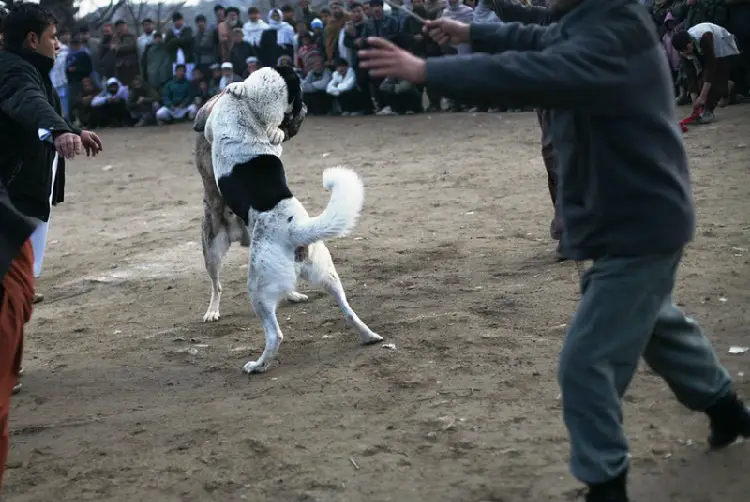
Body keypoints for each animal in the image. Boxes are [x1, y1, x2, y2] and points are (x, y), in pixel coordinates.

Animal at [195, 66, 382, 372]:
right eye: (301, 95)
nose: (306, 106)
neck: (251, 108)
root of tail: (296, 230)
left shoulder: (211, 126)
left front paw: (235, 86)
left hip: (256, 286)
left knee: (273, 332)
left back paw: (258, 364)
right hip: (326, 273)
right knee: (347, 310)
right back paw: (369, 335)